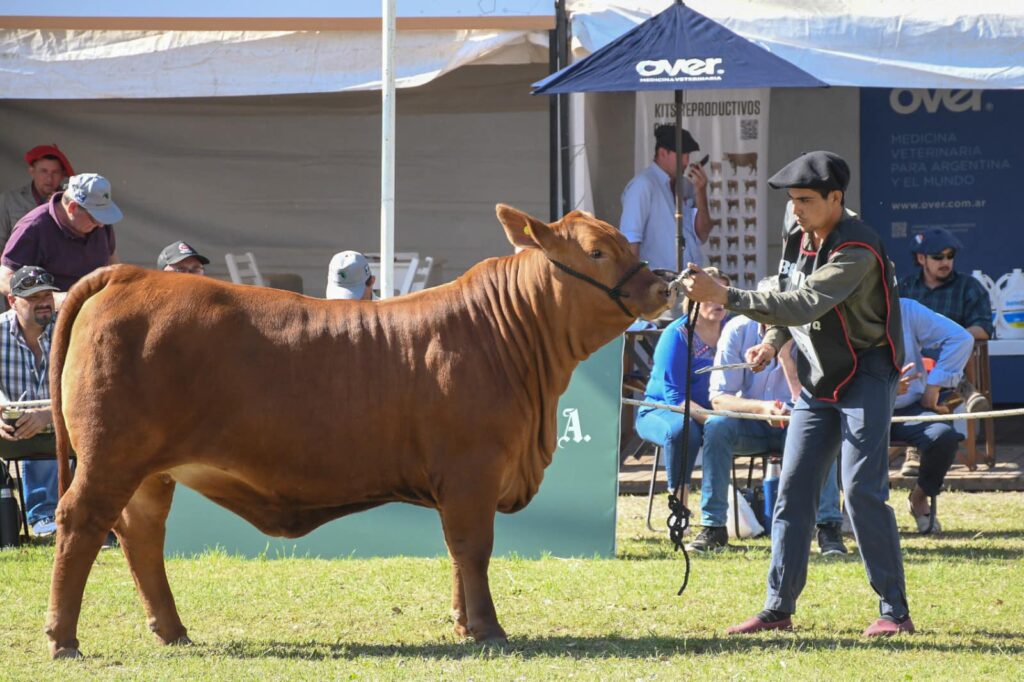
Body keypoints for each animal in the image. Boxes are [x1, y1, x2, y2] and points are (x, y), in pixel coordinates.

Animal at [46, 204, 671, 655]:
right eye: (597, 251)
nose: (663, 287)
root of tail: (129, 274)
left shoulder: (461, 484)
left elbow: (457, 551)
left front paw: (462, 623)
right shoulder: (472, 470)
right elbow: (474, 547)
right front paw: (488, 628)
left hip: (150, 471)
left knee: (141, 534)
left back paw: (172, 631)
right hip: (110, 457)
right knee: (80, 524)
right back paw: (63, 639)